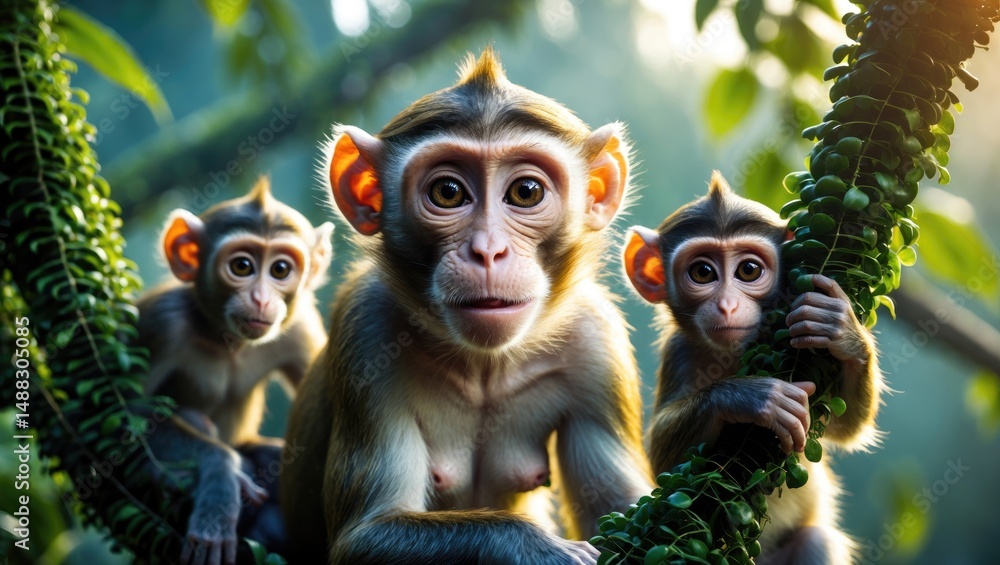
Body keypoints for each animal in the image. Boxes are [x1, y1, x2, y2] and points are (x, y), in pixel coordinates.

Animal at [137, 176, 333, 564]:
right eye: (242, 266)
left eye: (280, 270)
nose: (261, 299)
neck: (228, 341)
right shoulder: (163, 323)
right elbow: (118, 410)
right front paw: (221, 477)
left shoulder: (301, 326)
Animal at [280, 47, 653, 564]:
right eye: (448, 192)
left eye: (526, 192)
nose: (488, 251)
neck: (484, 366)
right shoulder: (365, 327)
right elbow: (364, 536)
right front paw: (543, 550)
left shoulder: (597, 342)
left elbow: (627, 512)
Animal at [622, 171, 884, 564]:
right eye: (702, 272)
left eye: (748, 270)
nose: (728, 305)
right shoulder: (678, 352)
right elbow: (666, 467)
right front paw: (748, 398)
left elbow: (845, 427)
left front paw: (844, 330)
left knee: (816, 540)